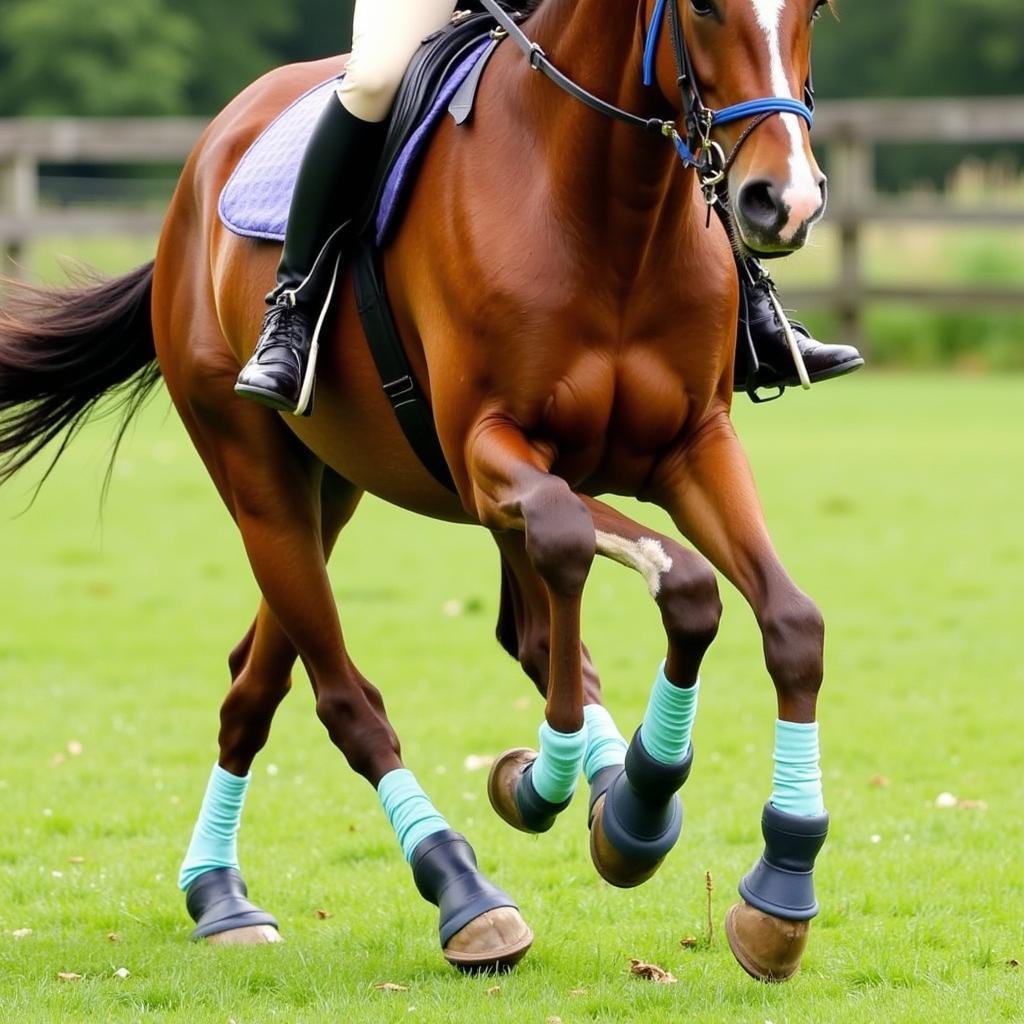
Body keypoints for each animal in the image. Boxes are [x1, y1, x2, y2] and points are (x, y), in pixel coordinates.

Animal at [0, 0, 831, 978]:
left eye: (814, 12)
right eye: (701, 8)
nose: (784, 201)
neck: (607, 212)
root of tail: (199, 169)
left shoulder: (693, 449)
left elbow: (788, 622)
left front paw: (773, 892)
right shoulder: (487, 456)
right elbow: (669, 577)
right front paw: (611, 792)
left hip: (332, 488)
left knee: (264, 685)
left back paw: (221, 895)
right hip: (261, 485)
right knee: (343, 698)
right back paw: (464, 890)